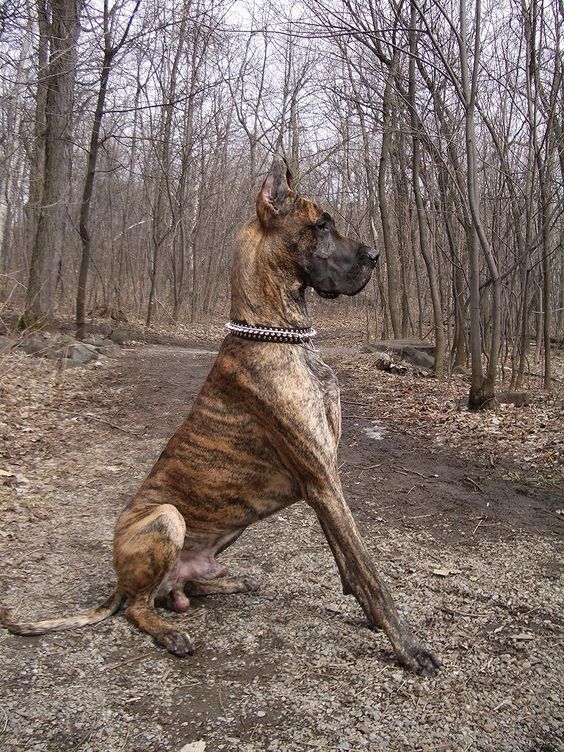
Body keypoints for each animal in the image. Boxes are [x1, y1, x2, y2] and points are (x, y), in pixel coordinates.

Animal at [1, 157, 440, 676]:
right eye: (321, 226)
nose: (374, 255)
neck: (275, 333)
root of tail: (118, 581)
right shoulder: (322, 480)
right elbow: (370, 572)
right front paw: (408, 647)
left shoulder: (323, 481)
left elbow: (346, 562)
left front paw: (371, 618)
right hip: (166, 518)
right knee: (137, 607)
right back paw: (171, 632)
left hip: (227, 531)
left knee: (180, 588)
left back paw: (230, 583)